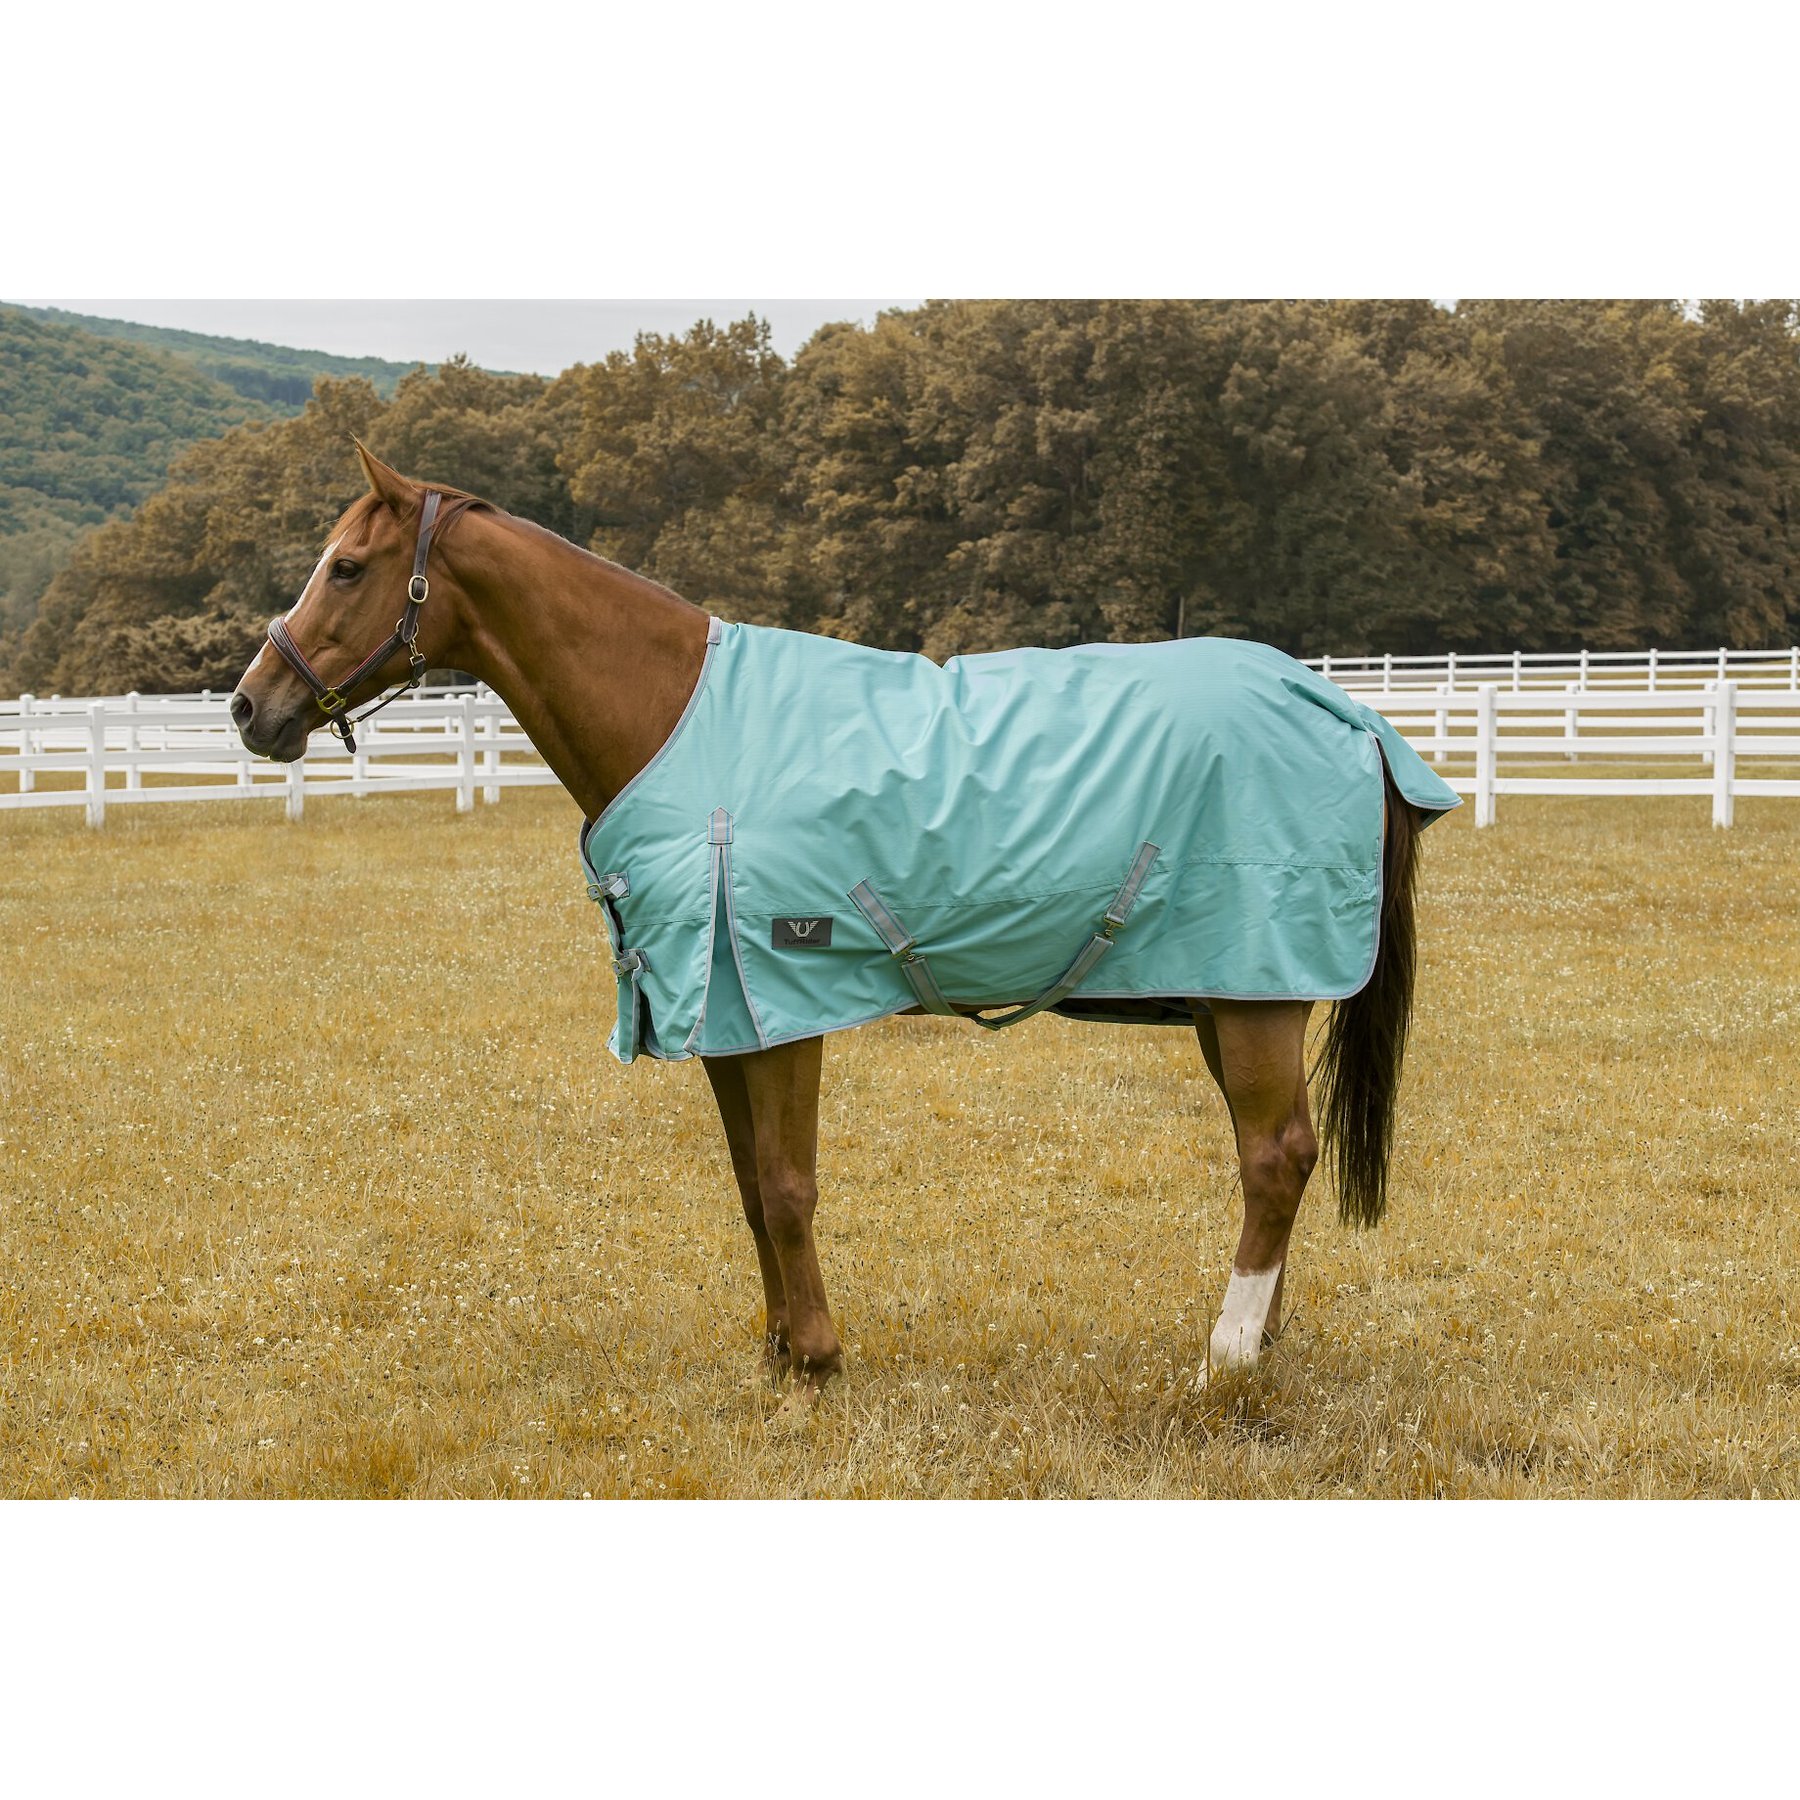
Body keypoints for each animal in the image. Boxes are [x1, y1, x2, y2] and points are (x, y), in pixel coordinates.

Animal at [231, 444, 1453, 1415]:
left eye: (346, 567)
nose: (250, 706)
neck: (680, 720)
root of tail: (1341, 707)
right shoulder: (721, 1017)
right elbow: (746, 1185)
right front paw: (777, 1353)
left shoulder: (780, 1001)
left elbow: (786, 1185)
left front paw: (816, 1358)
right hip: (1230, 995)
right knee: (1276, 1157)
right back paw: (1262, 1343)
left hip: (1253, 998)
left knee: (1274, 1157)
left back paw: (1224, 1360)